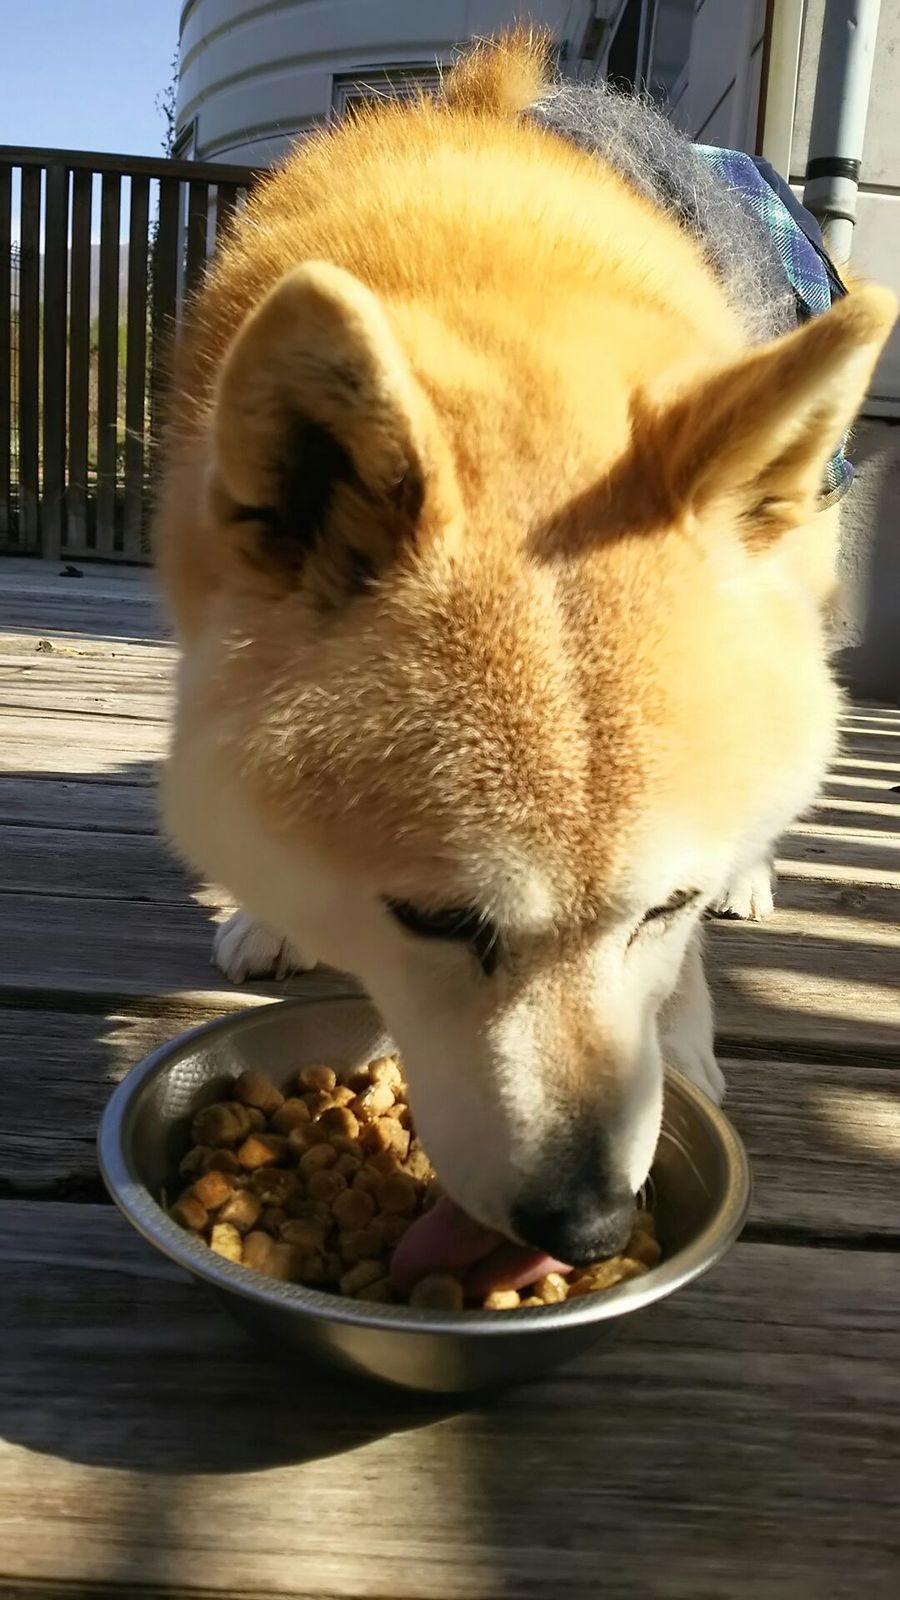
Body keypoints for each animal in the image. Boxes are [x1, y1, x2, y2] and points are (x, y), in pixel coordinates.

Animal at [156, 32, 895, 1267]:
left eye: (663, 907)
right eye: (437, 922)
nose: (590, 1227)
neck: (484, 262)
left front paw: (683, 1034)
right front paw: (269, 911)